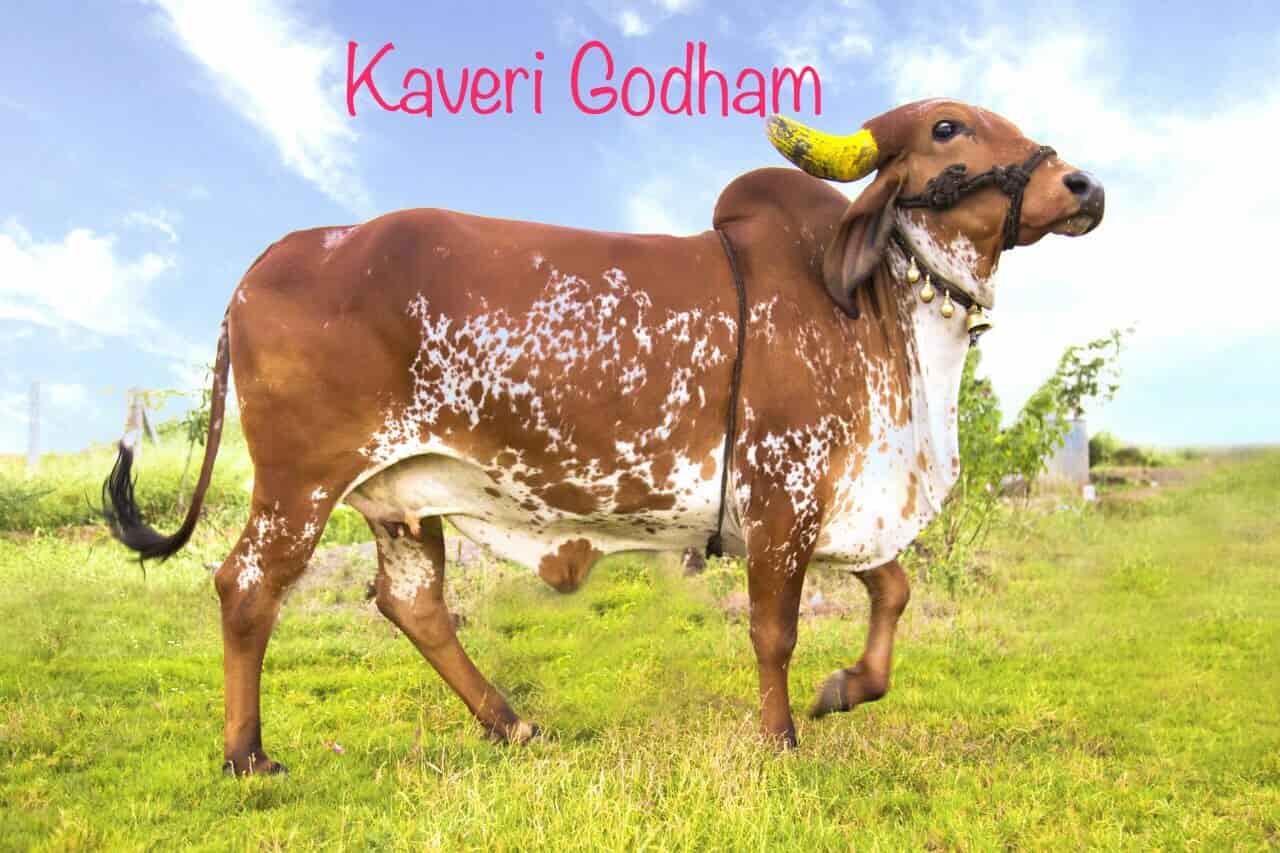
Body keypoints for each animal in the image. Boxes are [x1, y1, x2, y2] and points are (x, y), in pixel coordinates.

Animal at [103, 99, 1104, 775]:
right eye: (948, 128)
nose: (1083, 185)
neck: (880, 315)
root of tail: (278, 254)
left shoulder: (843, 505)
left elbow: (892, 593)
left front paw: (844, 689)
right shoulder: (781, 497)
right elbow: (774, 630)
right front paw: (781, 736)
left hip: (399, 494)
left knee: (413, 603)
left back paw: (512, 722)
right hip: (301, 480)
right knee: (247, 587)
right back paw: (247, 754)